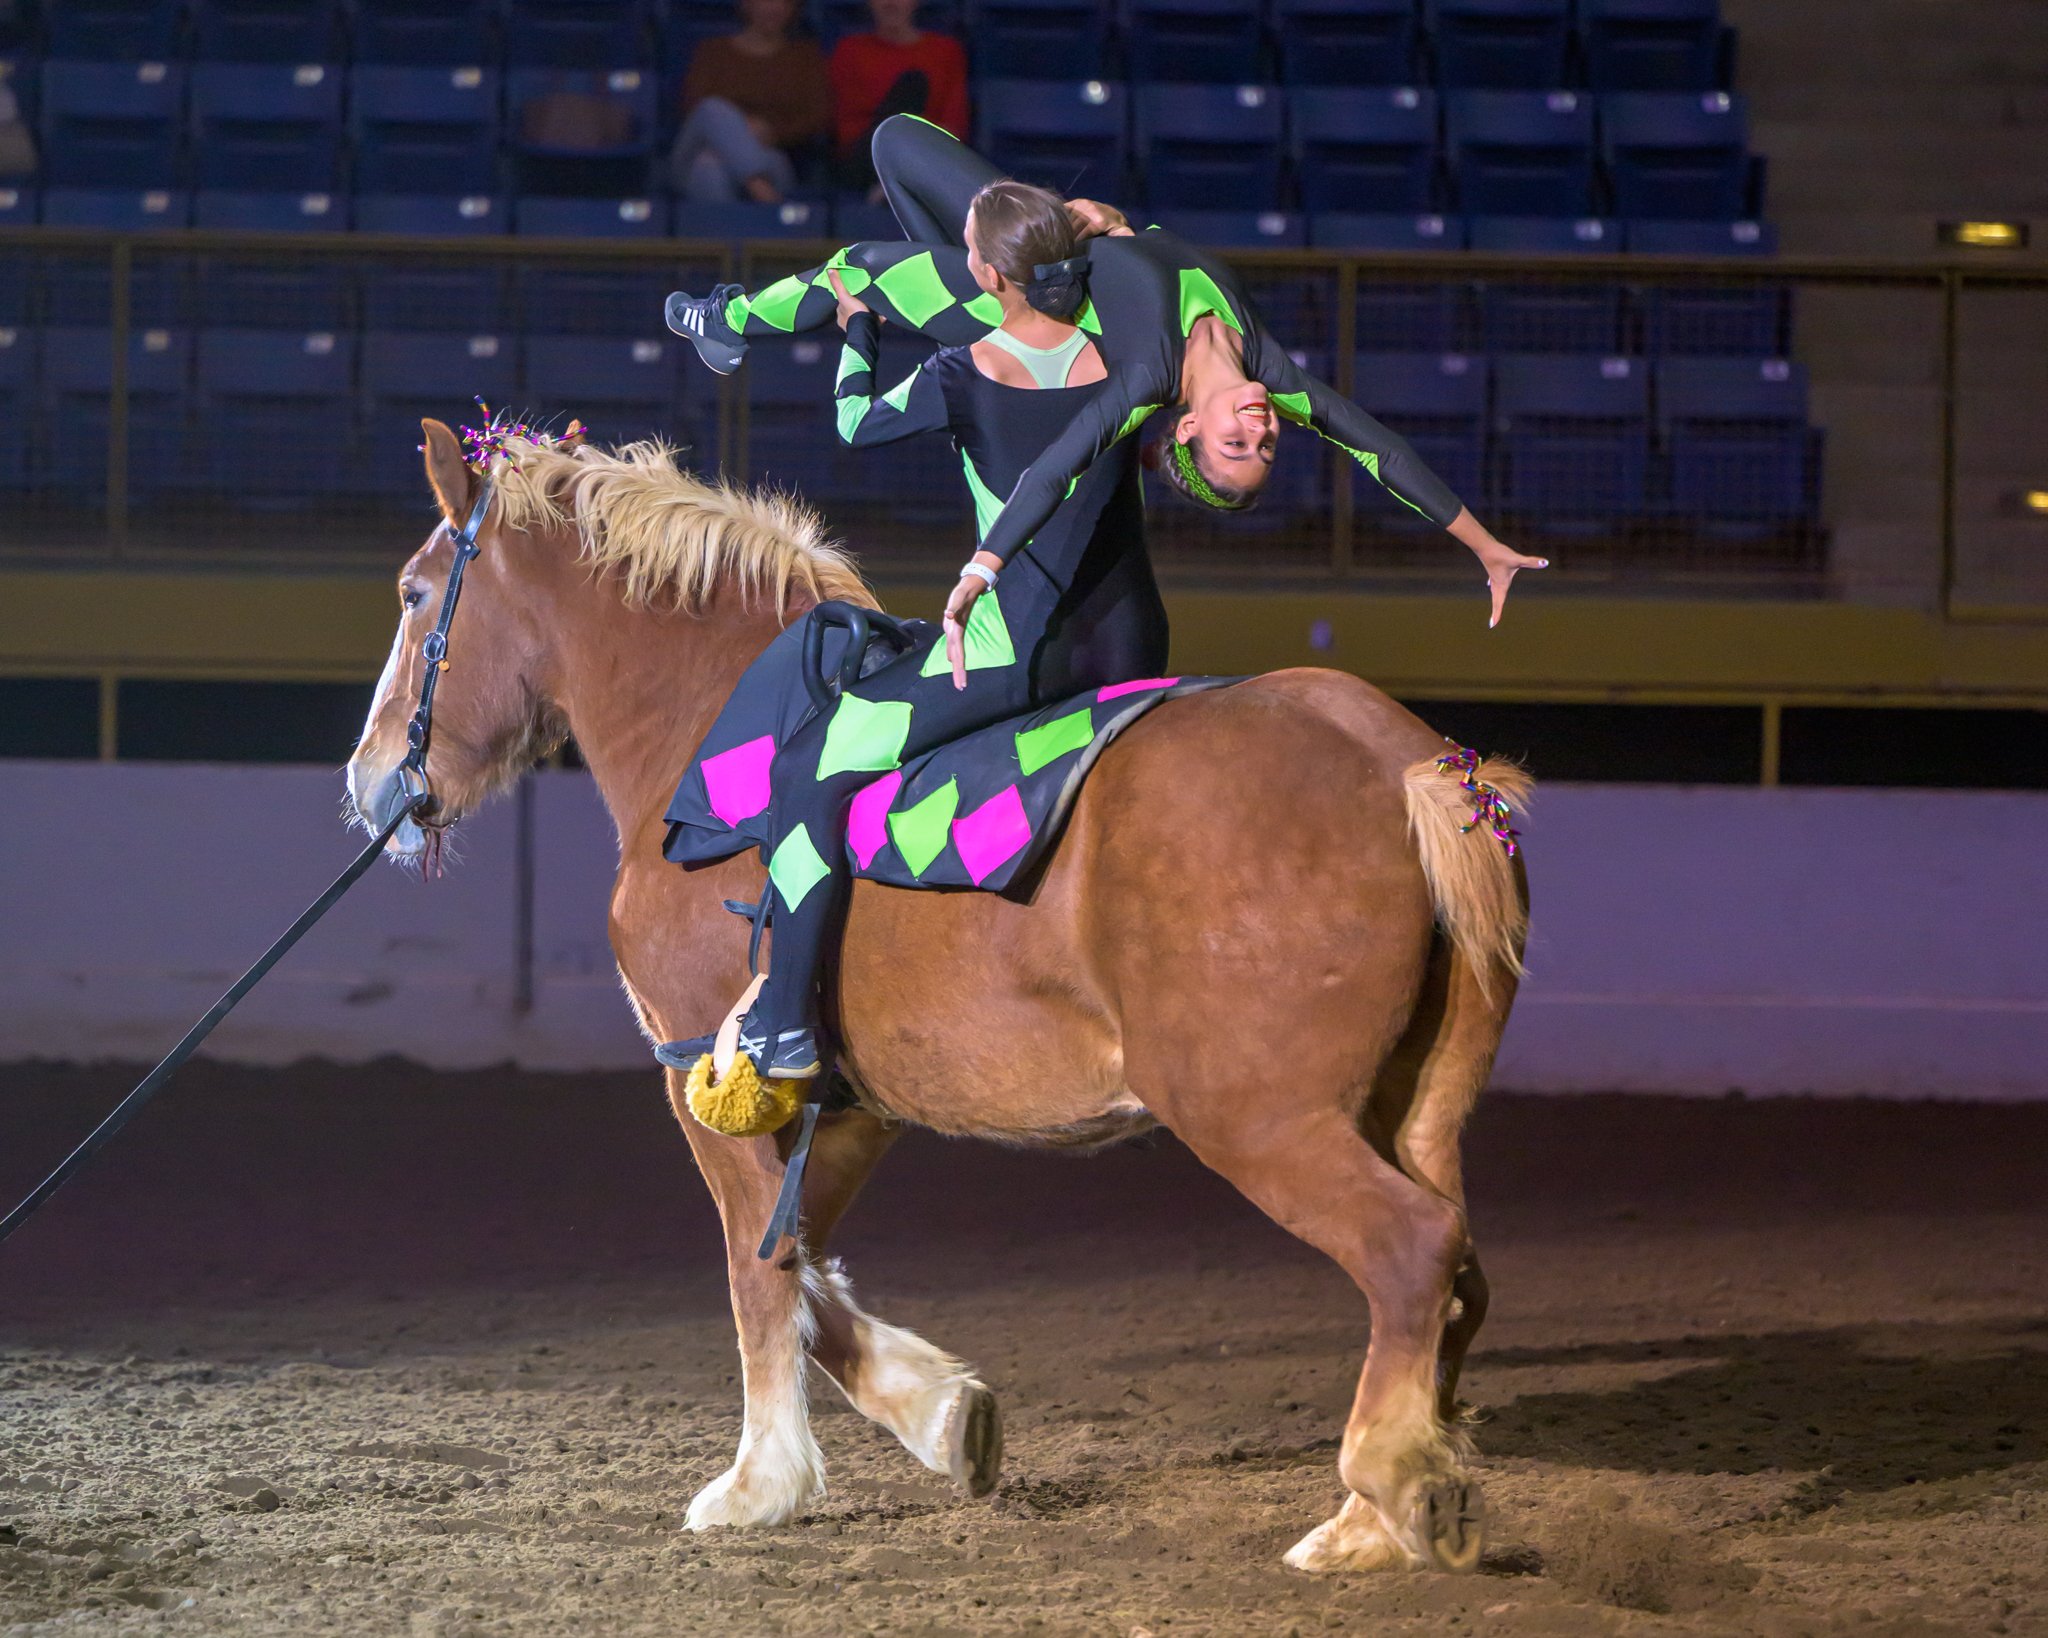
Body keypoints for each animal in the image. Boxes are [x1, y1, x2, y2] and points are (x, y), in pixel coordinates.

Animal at [345, 420, 1531, 1575]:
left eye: (413, 595)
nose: (369, 781)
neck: (712, 742)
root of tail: (1402, 766)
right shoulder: (854, 1108)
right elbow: (803, 1267)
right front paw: (943, 1416)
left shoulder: (704, 1082)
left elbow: (757, 1273)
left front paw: (761, 1483)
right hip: (1416, 1110)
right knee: (1457, 1273)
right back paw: (1388, 1492)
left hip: (1260, 1121)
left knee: (1408, 1252)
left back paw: (1382, 1499)